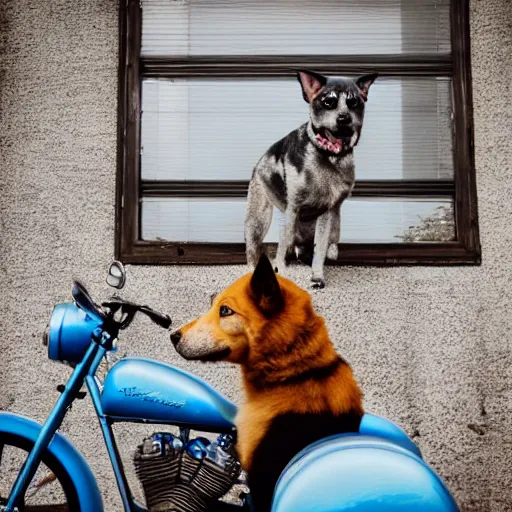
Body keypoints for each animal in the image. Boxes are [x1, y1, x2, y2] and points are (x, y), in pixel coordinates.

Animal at [244, 70, 376, 290]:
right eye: (329, 102)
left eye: (354, 102)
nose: (344, 118)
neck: (328, 156)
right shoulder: (293, 208)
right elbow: (281, 249)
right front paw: (282, 272)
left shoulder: (328, 212)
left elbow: (320, 250)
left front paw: (317, 277)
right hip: (257, 221)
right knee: (256, 252)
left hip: (334, 224)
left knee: (326, 248)